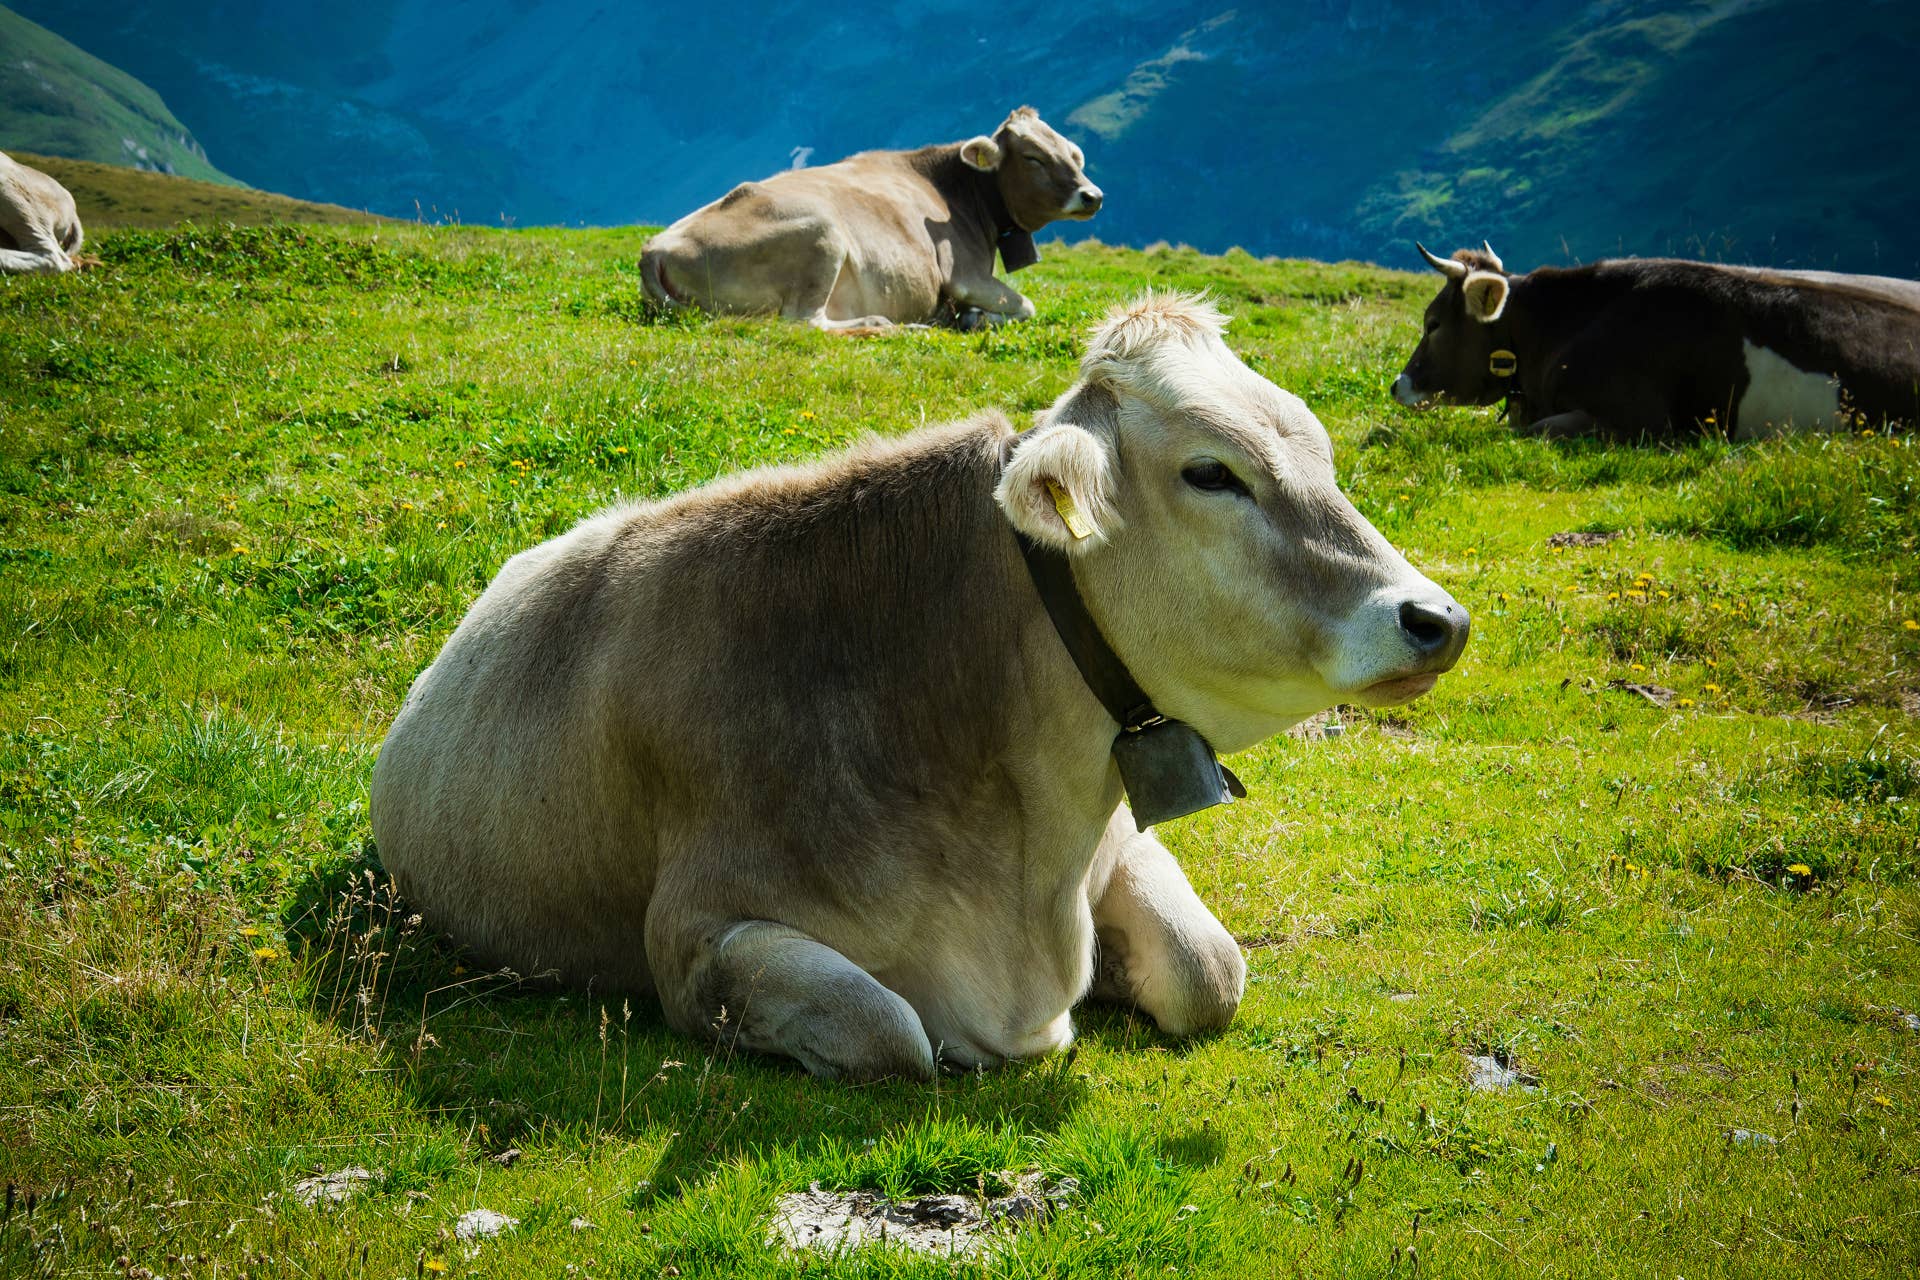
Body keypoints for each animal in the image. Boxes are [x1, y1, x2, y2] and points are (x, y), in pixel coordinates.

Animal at [370, 293, 1469, 1081]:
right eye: (1213, 472)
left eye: (1318, 450)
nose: (1436, 619)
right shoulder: (694, 937)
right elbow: (888, 1030)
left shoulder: (1111, 842)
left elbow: (1213, 972)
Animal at [639, 107, 1101, 332]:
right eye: (1033, 157)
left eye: (1074, 153)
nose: (1092, 195)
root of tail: (653, 249)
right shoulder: (963, 275)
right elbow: (1028, 305)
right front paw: (974, 318)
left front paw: (970, 317)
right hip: (824, 233)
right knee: (803, 324)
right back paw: (888, 325)